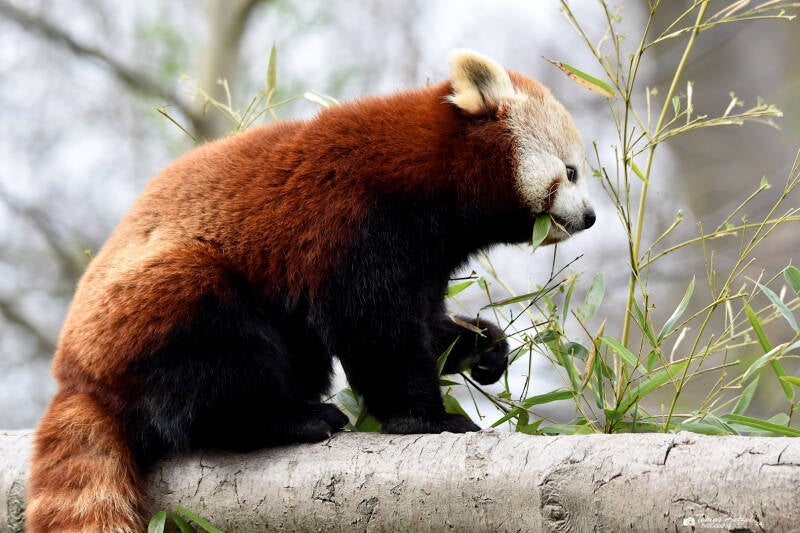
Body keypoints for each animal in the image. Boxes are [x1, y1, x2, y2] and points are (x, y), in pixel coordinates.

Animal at [26, 49, 595, 532]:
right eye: (571, 172)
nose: (590, 216)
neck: (429, 176)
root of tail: (75, 377)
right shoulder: (354, 219)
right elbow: (376, 331)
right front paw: (426, 418)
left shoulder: (424, 257)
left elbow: (423, 323)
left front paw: (482, 346)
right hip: (162, 303)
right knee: (211, 367)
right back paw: (291, 418)